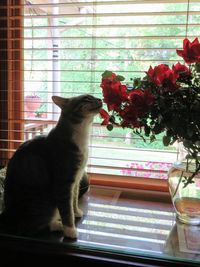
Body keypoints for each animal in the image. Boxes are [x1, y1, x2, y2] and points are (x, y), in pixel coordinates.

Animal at [0, 94, 101, 241]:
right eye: (87, 98)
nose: (100, 99)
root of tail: (7, 216)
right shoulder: (64, 182)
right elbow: (66, 209)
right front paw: (70, 231)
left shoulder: (76, 179)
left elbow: (73, 200)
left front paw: (76, 211)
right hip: (43, 203)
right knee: (29, 228)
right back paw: (57, 225)